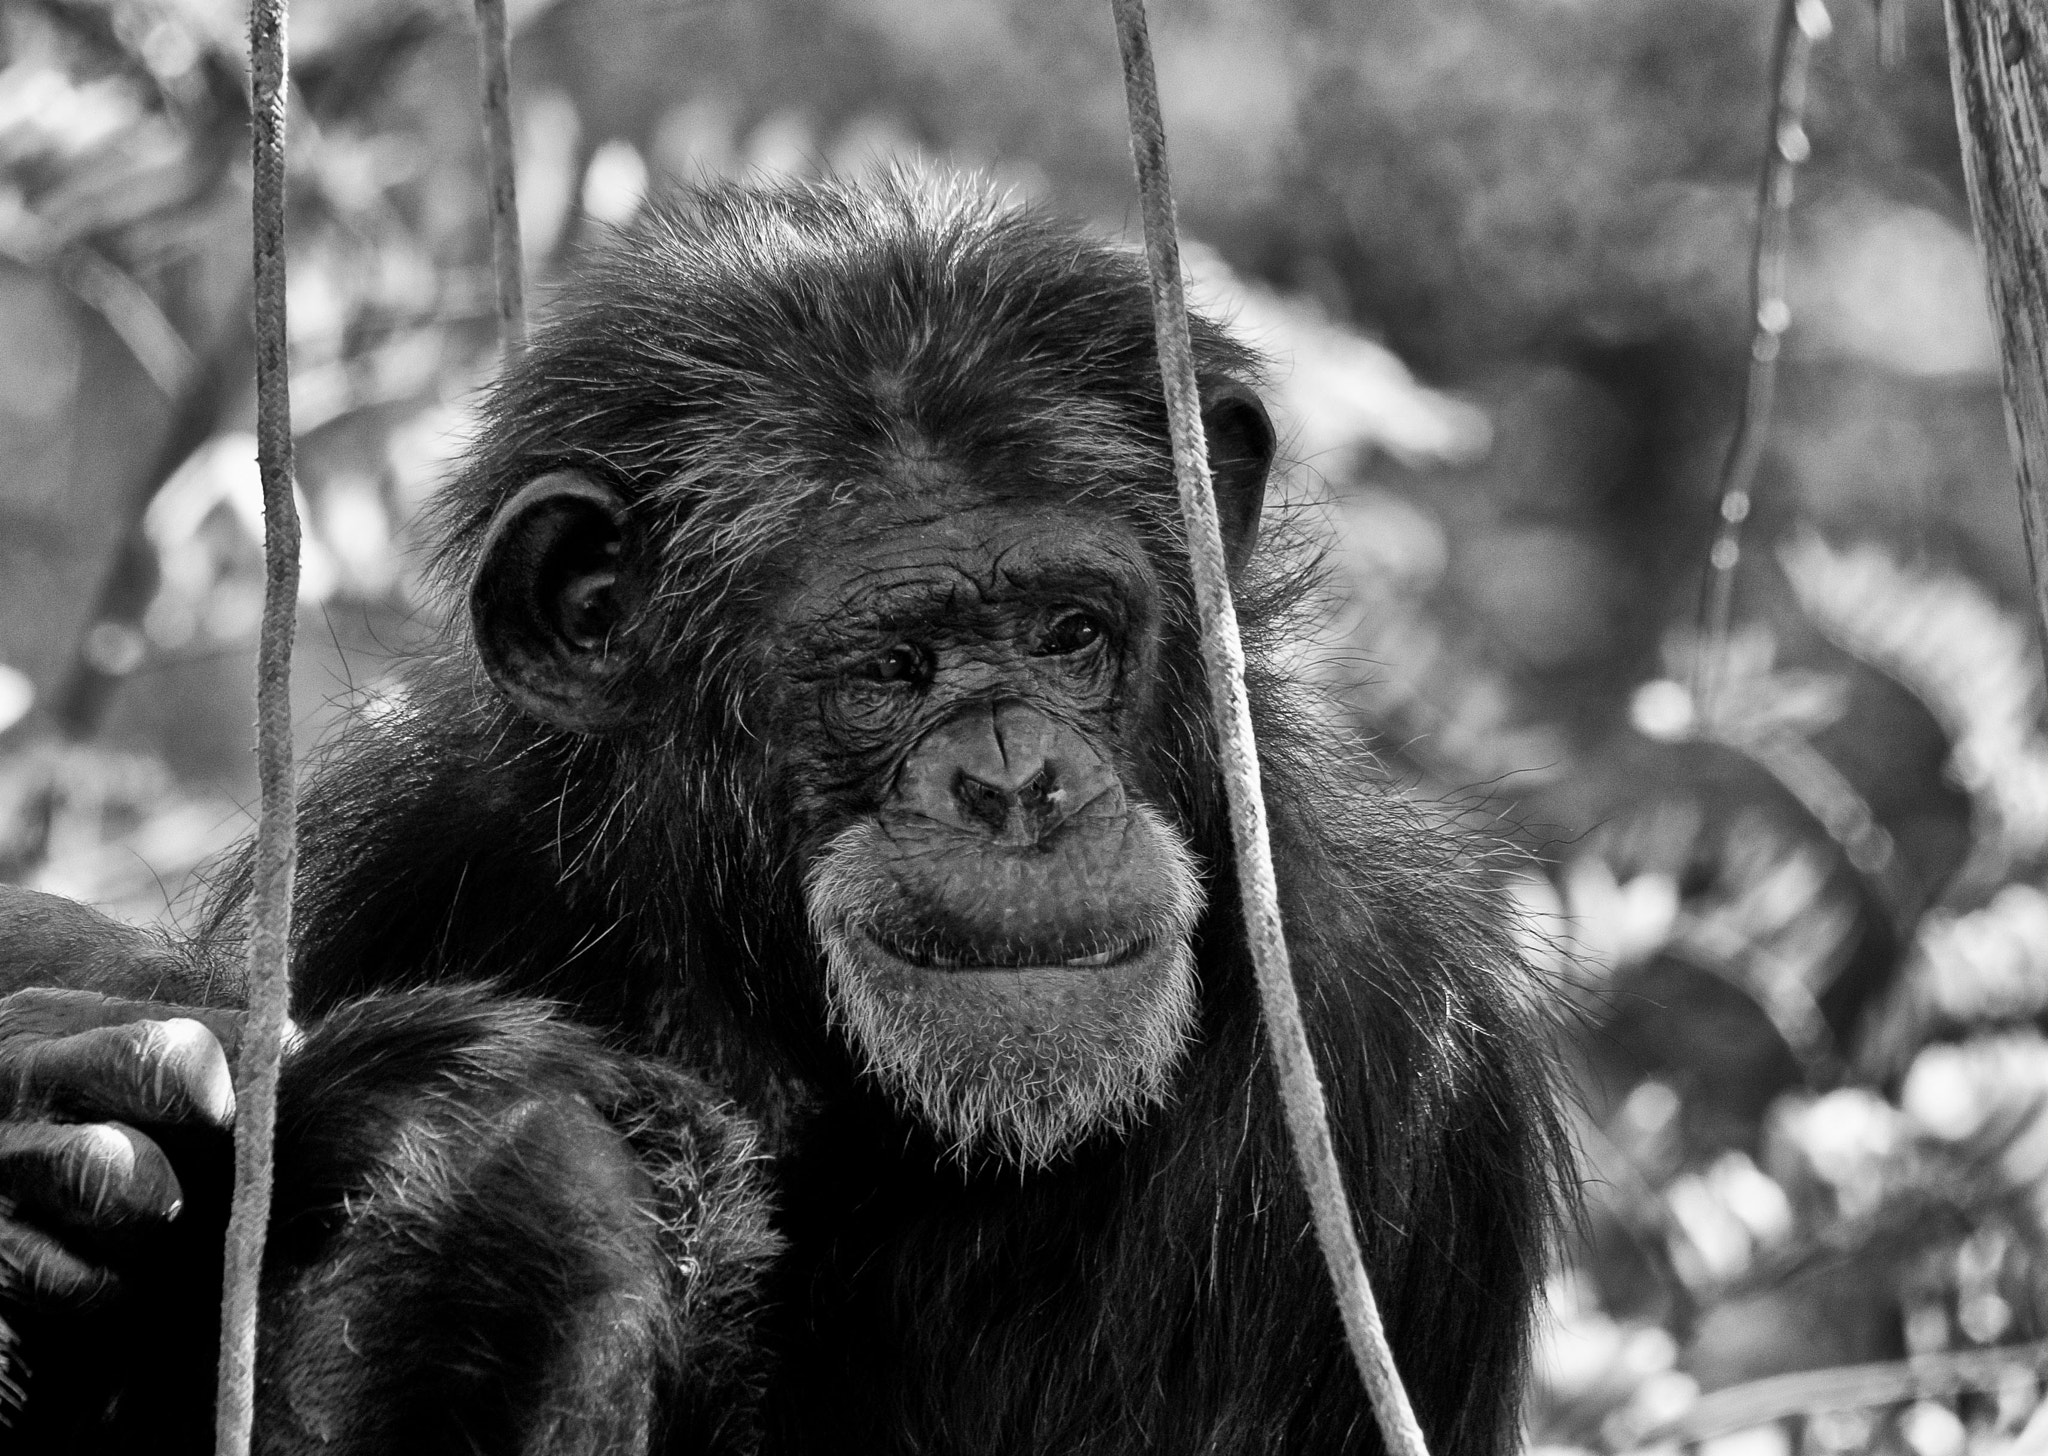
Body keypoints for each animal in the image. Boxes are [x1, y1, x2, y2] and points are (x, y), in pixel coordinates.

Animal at [0, 171, 1565, 1455]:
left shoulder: (1372, 1052)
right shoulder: (408, 840)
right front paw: (88, 1100)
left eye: (1070, 634)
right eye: (887, 668)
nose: (1017, 784)